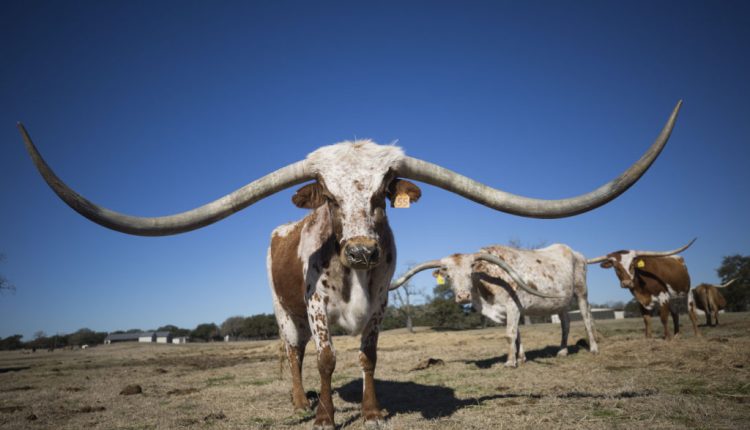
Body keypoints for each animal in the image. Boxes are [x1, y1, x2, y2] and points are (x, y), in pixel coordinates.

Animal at [394, 245, 600, 366]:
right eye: (448, 276)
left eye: (470, 273)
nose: (463, 296)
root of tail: (575, 252)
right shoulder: (507, 311)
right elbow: (516, 334)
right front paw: (521, 358)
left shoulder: (513, 306)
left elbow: (509, 334)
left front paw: (510, 362)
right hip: (561, 303)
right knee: (566, 323)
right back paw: (562, 351)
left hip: (581, 292)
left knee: (587, 317)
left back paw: (593, 348)